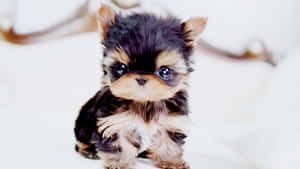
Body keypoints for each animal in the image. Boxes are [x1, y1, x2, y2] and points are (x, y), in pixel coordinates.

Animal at [74, 4, 207, 169]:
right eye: (122, 67)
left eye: (164, 71)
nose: (142, 78)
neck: (144, 102)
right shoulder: (114, 122)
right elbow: (119, 144)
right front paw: (120, 163)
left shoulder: (171, 121)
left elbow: (168, 142)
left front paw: (170, 161)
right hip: (83, 122)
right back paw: (89, 150)